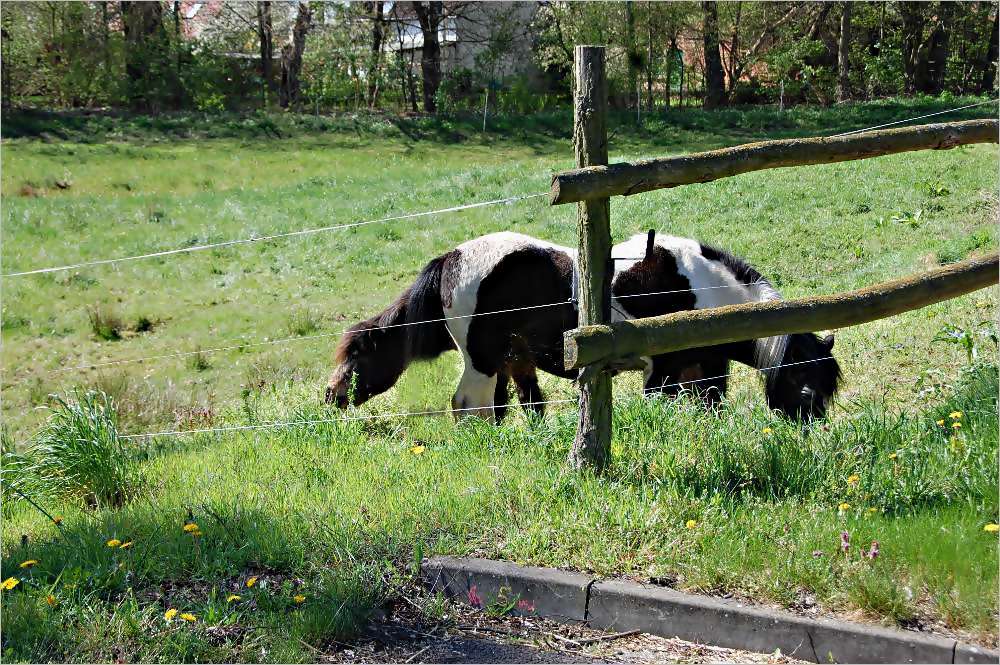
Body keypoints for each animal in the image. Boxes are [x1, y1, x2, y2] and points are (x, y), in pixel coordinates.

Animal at [324, 233, 840, 420]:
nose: (808, 430)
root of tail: (450, 258)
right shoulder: (662, 373)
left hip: (510, 357)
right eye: (807, 387)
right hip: (482, 360)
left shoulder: (704, 371)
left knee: (510, 406)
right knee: (471, 407)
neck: (702, 293)